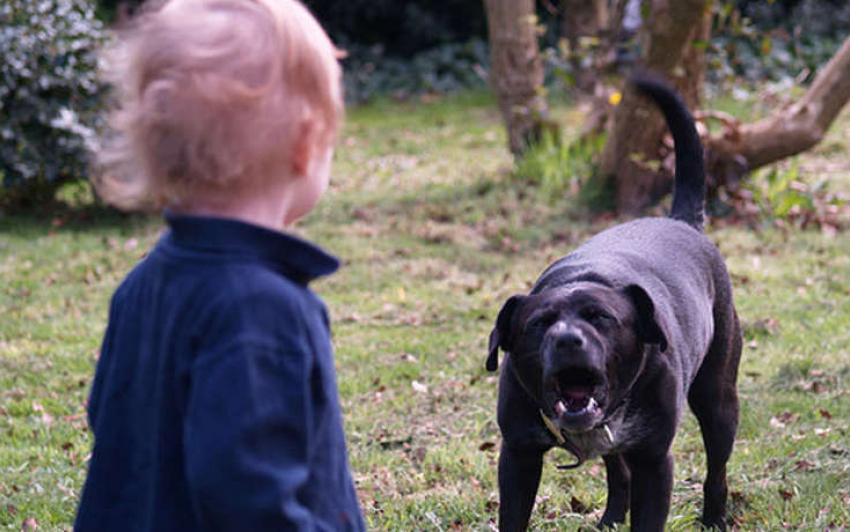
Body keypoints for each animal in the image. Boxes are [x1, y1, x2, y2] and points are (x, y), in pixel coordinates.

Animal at [486, 74, 740, 528]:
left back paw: (714, 517)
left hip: (718, 399)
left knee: (717, 470)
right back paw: (611, 516)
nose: (568, 339)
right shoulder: (518, 455)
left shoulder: (654, 461)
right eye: (539, 324)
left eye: (601, 317)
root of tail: (681, 222)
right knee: (616, 470)